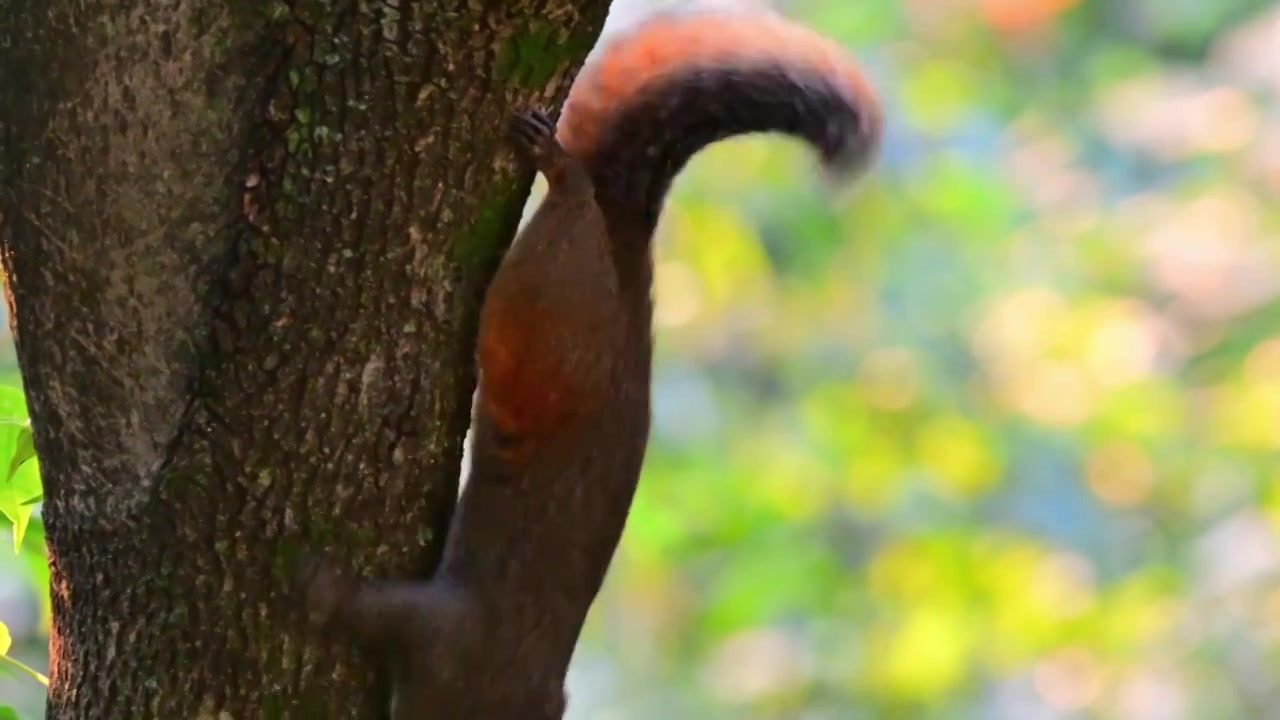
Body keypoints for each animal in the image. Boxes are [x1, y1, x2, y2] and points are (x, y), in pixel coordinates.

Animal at [295, 2, 885, 712]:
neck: (507, 687)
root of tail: (623, 255)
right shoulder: (453, 636)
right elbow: (380, 611)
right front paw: (320, 587)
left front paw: (319, 587)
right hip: (558, 285)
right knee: (570, 197)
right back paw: (557, 165)